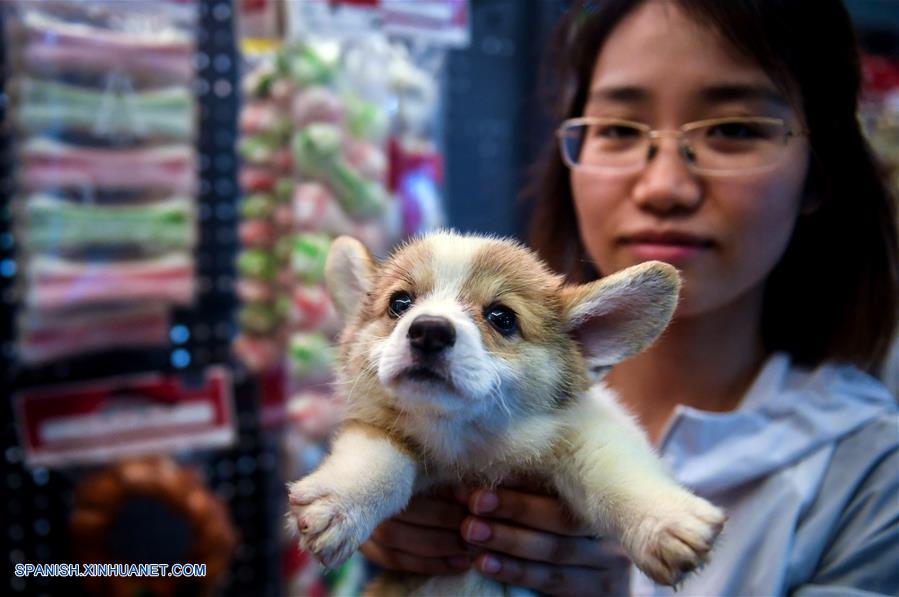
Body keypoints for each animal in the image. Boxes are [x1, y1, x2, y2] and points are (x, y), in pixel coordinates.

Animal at [288, 232, 724, 592]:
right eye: (400, 303)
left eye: (502, 318)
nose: (429, 330)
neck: (470, 443)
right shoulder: (378, 429)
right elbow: (379, 459)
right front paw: (338, 502)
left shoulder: (586, 432)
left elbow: (616, 471)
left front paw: (667, 521)